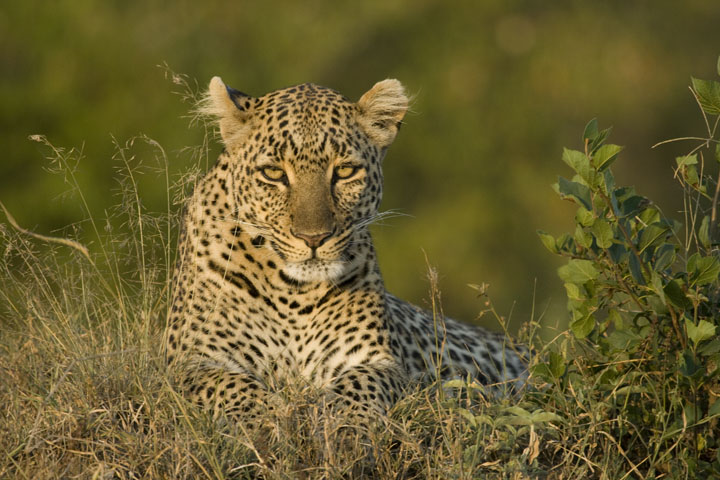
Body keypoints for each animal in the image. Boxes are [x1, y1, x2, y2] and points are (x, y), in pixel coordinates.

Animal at [165, 76, 528, 427]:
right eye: (273, 173)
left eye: (344, 171)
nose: (313, 238)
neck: (294, 295)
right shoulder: (191, 362)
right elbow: (235, 389)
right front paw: (268, 425)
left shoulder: (377, 361)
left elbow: (358, 388)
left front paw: (345, 427)